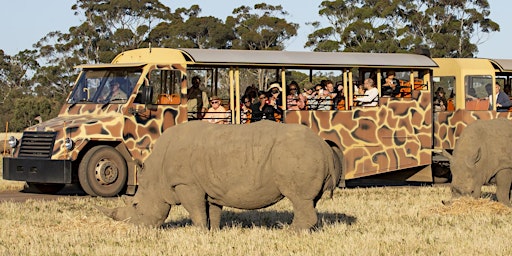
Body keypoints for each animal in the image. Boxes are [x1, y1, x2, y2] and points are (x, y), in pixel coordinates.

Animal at [99, 120, 344, 230]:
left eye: (136, 205)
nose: (135, 228)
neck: (156, 175)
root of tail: (324, 146)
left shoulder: (186, 184)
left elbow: (196, 211)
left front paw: (198, 232)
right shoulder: (209, 186)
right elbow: (212, 211)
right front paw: (214, 231)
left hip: (297, 153)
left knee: (299, 198)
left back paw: (289, 232)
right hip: (307, 153)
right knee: (309, 200)